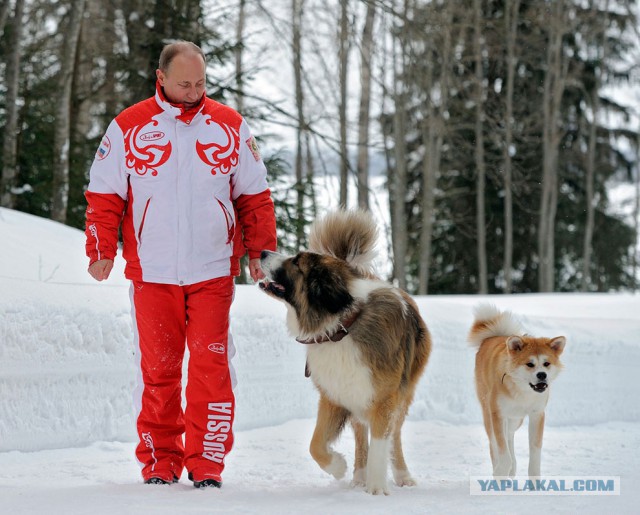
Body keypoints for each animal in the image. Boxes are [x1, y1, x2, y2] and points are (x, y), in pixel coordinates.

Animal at [258, 210, 430, 496]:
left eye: (296, 262)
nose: (261, 252)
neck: (343, 325)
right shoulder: (334, 395)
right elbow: (316, 443)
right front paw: (338, 467)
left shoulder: (384, 398)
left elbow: (382, 443)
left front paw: (377, 488)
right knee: (361, 434)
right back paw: (359, 475)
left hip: (403, 391)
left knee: (394, 436)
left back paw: (401, 475)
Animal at [468, 304, 568, 478]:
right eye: (529, 364)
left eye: (546, 363)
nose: (542, 375)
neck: (523, 391)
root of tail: (492, 337)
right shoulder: (498, 414)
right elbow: (502, 451)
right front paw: (500, 472)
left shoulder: (537, 415)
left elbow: (534, 454)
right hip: (488, 413)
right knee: (494, 444)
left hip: (516, 419)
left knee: (509, 435)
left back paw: (513, 467)